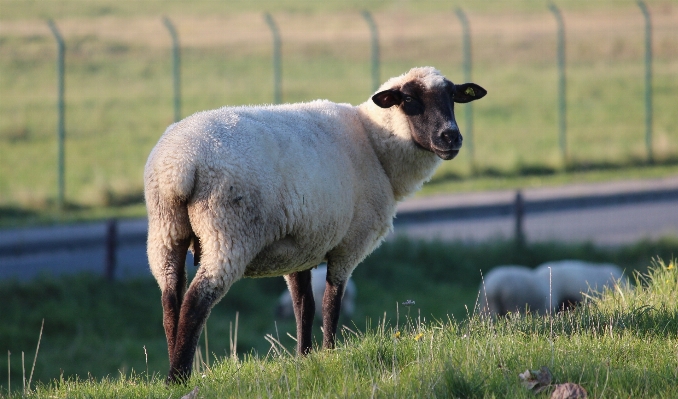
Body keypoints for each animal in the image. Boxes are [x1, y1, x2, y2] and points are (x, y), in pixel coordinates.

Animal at [146, 65, 488, 382]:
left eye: (453, 97)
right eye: (409, 100)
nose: (451, 137)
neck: (375, 144)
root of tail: (179, 165)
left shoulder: (300, 246)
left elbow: (304, 306)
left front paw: (304, 357)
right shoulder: (348, 245)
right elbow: (331, 303)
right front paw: (329, 353)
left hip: (166, 232)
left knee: (170, 300)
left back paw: (173, 367)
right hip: (227, 233)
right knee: (196, 301)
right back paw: (178, 376)